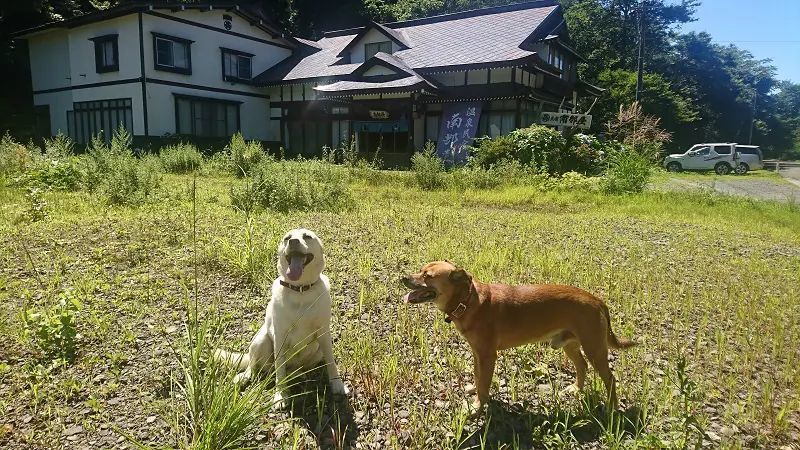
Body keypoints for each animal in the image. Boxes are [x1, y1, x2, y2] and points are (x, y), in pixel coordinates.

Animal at [214, 229, 348, 408]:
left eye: (307, 236)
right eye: (287, 238)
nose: (293, 242)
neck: (300, 290)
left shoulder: (324, 333)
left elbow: (331, 362)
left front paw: (337, 383)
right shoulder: (280, 336)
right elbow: (280, 369)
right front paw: (281, 395)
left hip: (317, 351)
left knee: (297, 369)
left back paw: (301, 375)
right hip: (261, 340)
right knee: (254, 364)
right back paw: (245, 376)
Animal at [404, 260, 636, 414]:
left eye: (427, 276)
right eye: (421, 270)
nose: (402, 278)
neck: (467, 301)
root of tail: (597, 301)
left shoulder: (488, 356)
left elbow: (483, 384)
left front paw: (478, 405)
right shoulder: (478, 354)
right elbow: (478, 377)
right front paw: (475, 392)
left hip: (594, 348)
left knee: (610, 379)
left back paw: (613, 409)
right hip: (570, 344)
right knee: (582, 366)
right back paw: (575, 389)